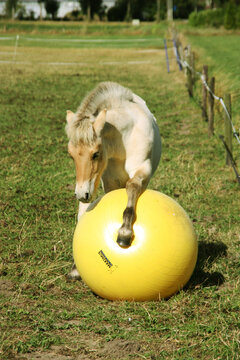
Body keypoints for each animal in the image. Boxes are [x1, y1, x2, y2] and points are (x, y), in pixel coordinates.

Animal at [65, 83, 161, 280]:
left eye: (95, 153)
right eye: (71, 155)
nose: (81, 194)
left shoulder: (142, 169)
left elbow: (132, 186)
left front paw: (124, 234)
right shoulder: (108, 181)